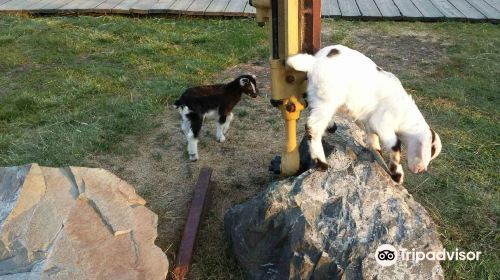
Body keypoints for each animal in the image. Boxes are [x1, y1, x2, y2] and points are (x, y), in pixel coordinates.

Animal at [290, 44, 442, 183]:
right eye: (428, 151)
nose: (420, 170)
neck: (404, 113)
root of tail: (314, 62)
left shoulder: (370, 125)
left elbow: (375, 145)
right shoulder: (383, 123)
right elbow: (396, 145)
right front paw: (397, 175)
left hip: (318, 97)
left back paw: (330, 126)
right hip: (327, 99)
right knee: (313, 127)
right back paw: (321, 163)